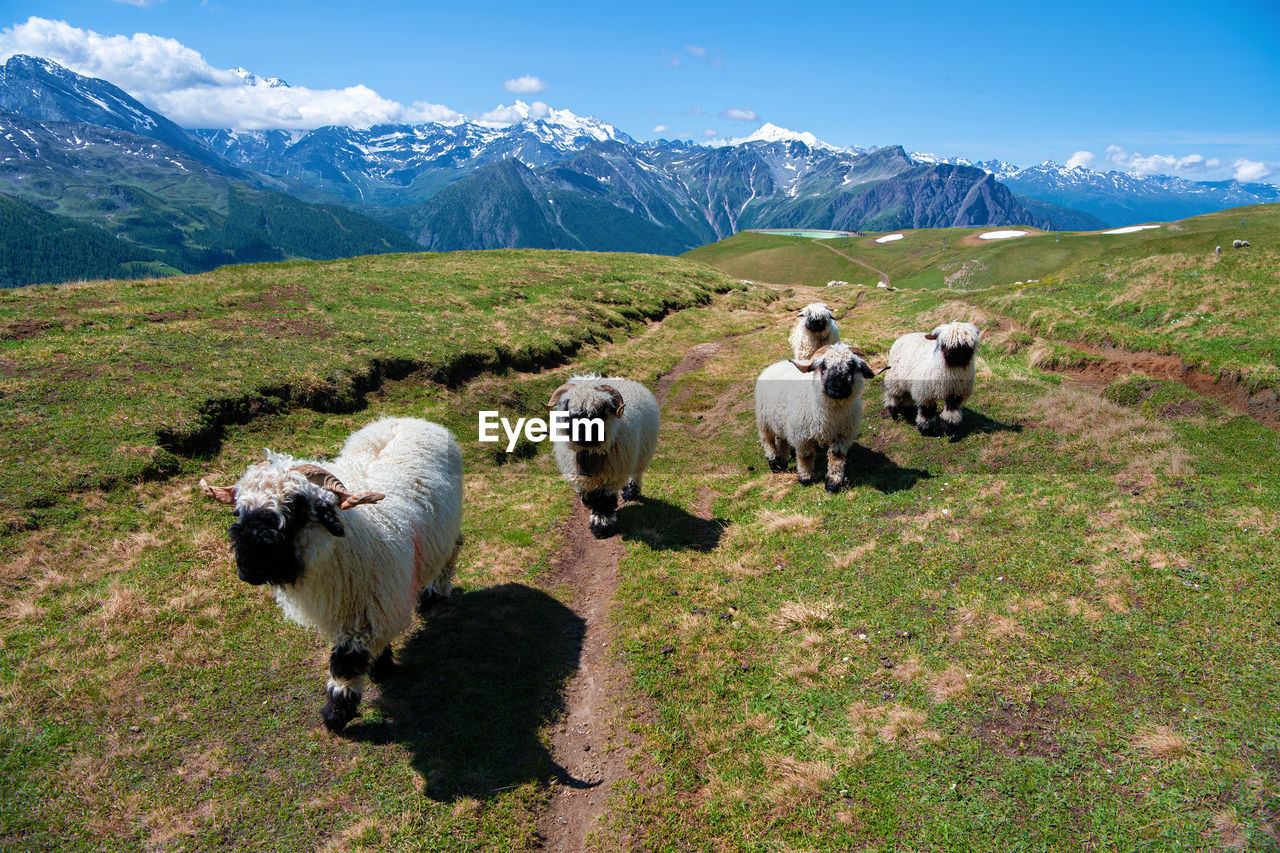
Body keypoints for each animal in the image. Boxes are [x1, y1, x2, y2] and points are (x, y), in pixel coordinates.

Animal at [207, 414, 468, 727]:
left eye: (295, 508)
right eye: (239, 511)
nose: (247, 567)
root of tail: (409, 419)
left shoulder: (369, 608)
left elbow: (346, 664)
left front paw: (336, 712)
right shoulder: (362, 607)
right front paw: (379, 666)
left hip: (449, 526)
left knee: (453, 550)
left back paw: (433, 594)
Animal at [545, 373, 660, 535]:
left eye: (598, 412)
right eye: (571, 413)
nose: (582, 439)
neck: (589, 453)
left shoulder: (611, 475)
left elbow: (604, 500)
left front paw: (601, 525)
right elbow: (587, 491)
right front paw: (586, 501)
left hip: (642, 452)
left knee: (636, 474)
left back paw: (631, 492)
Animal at [752, 343, 875, 491]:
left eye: (851, 366)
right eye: (823, 366)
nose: (836, 388)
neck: (830, 414)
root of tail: (776, 364)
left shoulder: (843, 434)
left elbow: (837, 456)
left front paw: (833, 483)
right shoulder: (801, 435)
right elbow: (806, 456)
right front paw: (805, 478)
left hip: (781, 421)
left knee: (781, 439)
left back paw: (782, 462)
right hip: (763, 419)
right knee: (767, 440)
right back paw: (774, 463)